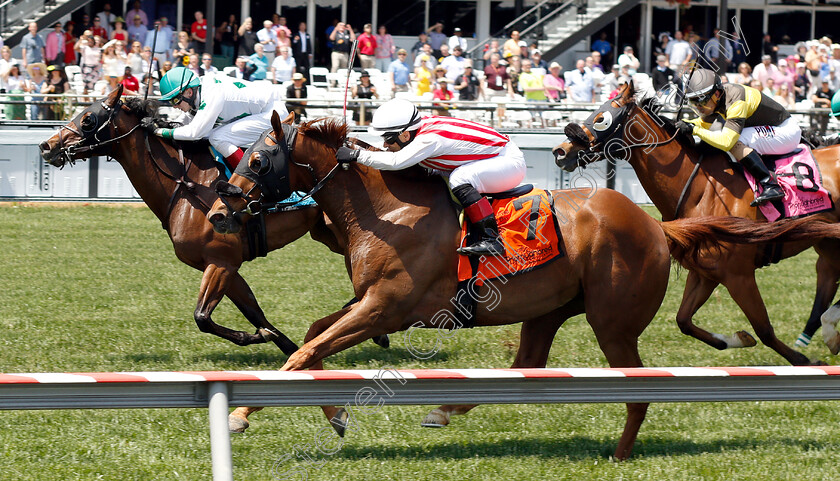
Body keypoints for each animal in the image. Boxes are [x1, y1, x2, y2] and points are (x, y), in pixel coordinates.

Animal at [35, 85, 384, 356]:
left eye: (88, 119)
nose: (46, 145)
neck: (184, 186)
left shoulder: (221, 260)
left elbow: (202, 316)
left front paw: (256, 337)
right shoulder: (223, 264)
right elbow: (253, 311)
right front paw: (282, 342)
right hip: (326, 232)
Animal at [205, 110, 840, 460]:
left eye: (257, 160)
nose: (217, 213)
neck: (386, 210)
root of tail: (656, 227)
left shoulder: (387, 307)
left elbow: (307, 349)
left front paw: (240, 415)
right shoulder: (369, 302)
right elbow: (313, 339)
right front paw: (332, 412)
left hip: (612, 323)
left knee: (636, 388)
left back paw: (622, 452)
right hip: (549, 309)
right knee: (525, 365)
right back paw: (444, 411)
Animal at [556, 79, 840, 364]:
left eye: (601, 119)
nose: (561, 151)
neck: (699, 187)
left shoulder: (739, 274)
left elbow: (765, 330)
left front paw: (805, 361)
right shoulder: (704, 273)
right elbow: (683, 320)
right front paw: (738, 339)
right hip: (828, 243)